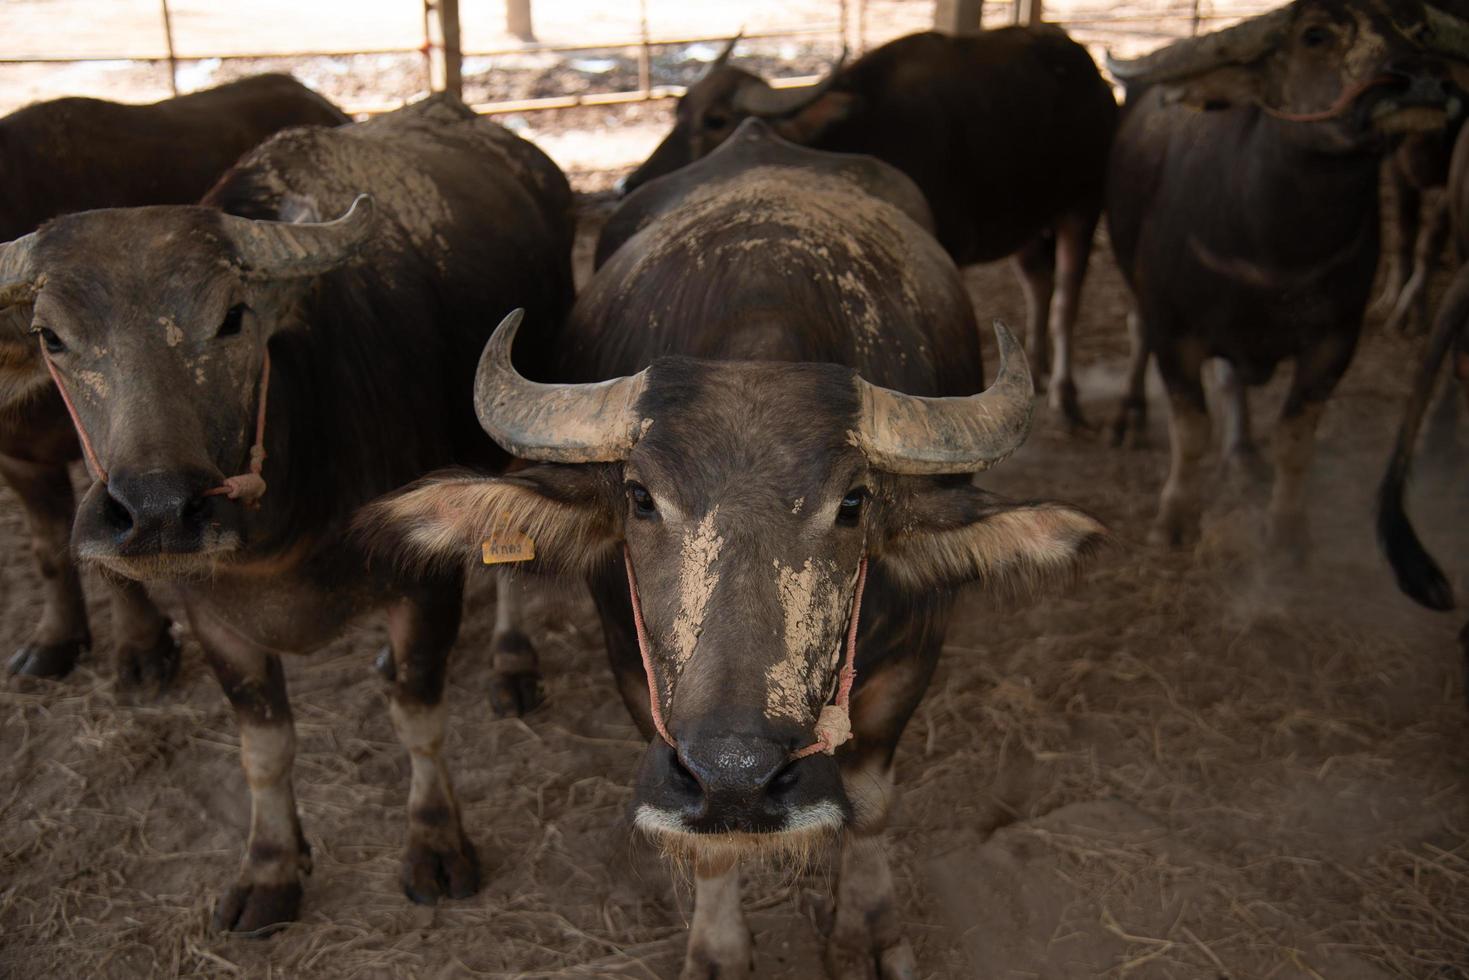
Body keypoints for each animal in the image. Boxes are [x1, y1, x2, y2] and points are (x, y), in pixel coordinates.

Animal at [1, 72, 348, 687]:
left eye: (232, 317)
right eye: (49, 335)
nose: (158, 506)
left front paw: (143, 649)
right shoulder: (17, 457)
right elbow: (50, 552)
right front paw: (52, 643)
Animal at [367, 122, 1104, 980]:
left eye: (852, 503)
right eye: (639, 497)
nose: (736, 776)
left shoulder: (913, 655)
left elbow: (869, 804)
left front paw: (867, 930)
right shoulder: (636, 677)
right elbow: (709, 848)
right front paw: (718, 950)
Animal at [611, 27, 1110, 429]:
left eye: (714, 120)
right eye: (678, 109)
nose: (628, 184)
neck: (867, 125)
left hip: (1082, 205)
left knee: (1066, 297)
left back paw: (1066, 398)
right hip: (1031, 225)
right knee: (1039, 285)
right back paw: (1039, 370)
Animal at [1104, 0, 1463, 555]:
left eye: (1419, 29)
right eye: (1314, 36)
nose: (1423, 80)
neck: (1274, 251)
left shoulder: (1334, 342)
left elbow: (1295, 441)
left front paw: (1289, 531)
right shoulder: (1175, 333)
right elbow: (1192, 432)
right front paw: (1174, 518)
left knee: (1232, 379)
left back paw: (1243, 452)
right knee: (1137, 330)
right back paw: (1129, 416)